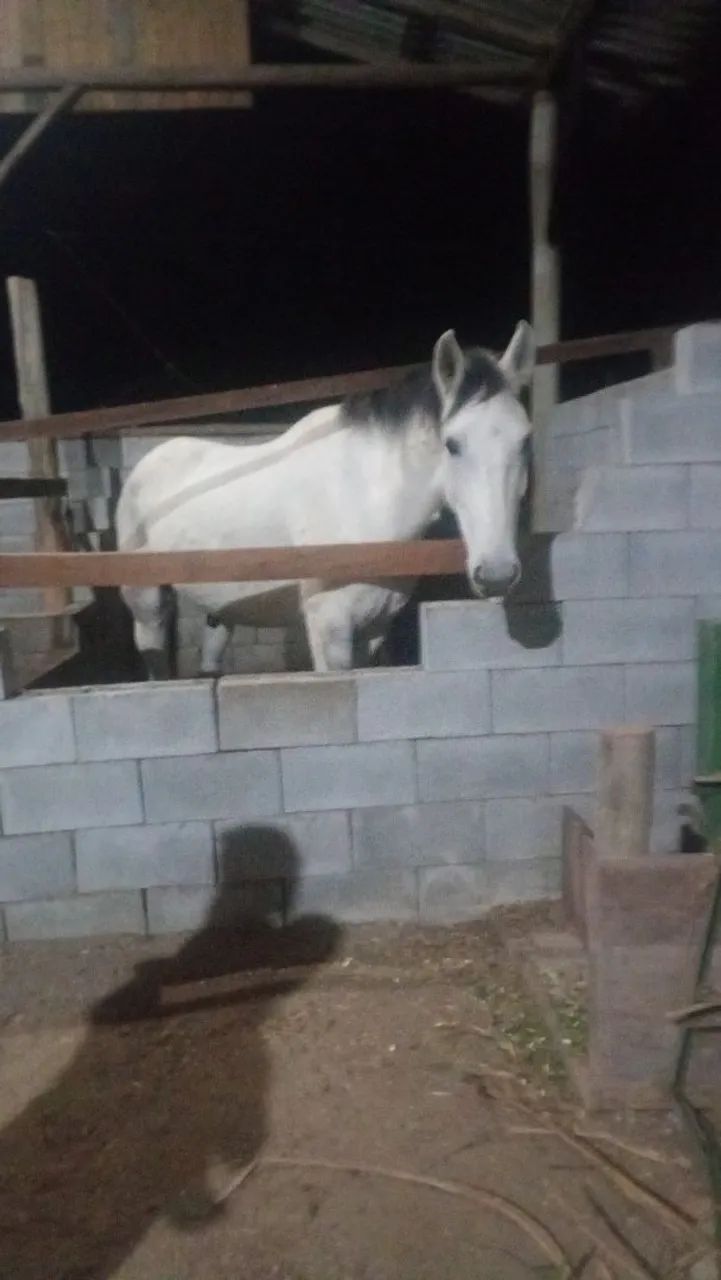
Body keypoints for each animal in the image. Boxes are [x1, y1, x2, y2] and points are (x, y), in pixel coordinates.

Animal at [116, 322, 535, 677]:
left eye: (525, 439)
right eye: (452, 444)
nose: (496, 575)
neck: (364, 499)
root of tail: (145, 465)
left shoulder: (374, 626)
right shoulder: (329, 626)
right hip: (147, 605)